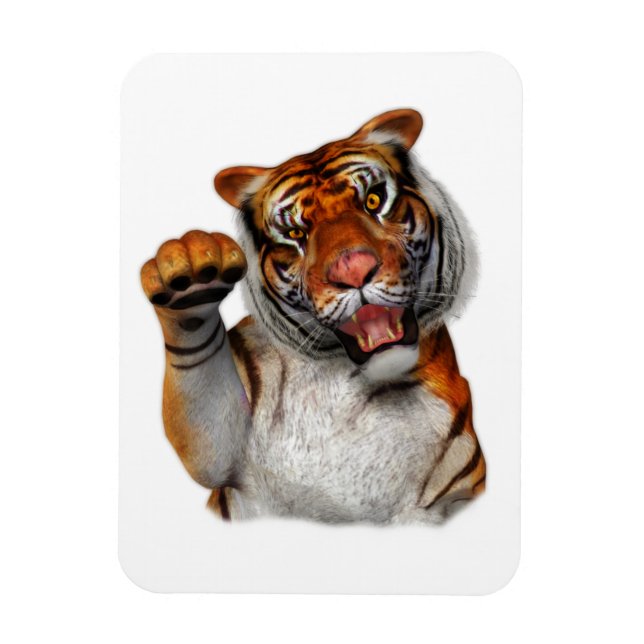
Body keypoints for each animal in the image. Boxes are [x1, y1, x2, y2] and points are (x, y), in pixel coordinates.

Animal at [140, 108, 486, 524]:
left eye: (373, 201)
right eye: (295, 233)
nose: (353, 271)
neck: (349, 382)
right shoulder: (228, 447)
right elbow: (209, 445)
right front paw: (192, 272)